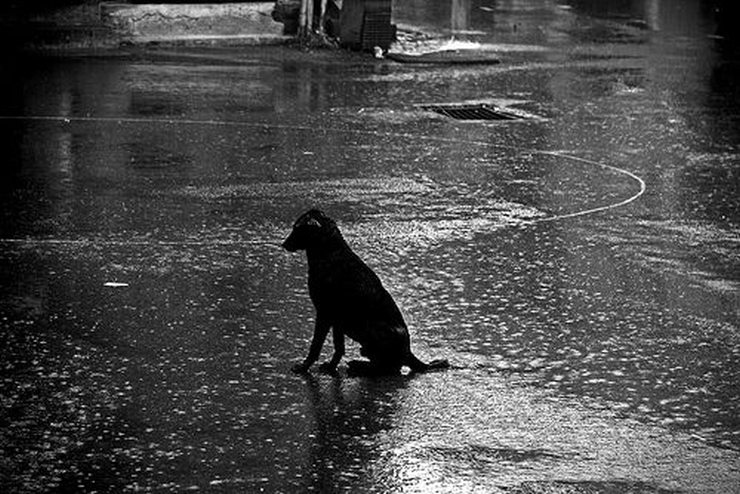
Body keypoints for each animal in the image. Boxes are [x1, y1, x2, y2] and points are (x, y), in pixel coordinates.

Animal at [282, 208, 446, 374]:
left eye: (297, 228)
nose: (283, 245)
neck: (329, 252)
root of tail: (409, 353)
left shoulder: (324, 313)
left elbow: (316, 345)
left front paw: (304, 367)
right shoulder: (337, 318)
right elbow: (339, 347)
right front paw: (331, 366)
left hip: (372, 329)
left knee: (389, 367)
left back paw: (359, 366)